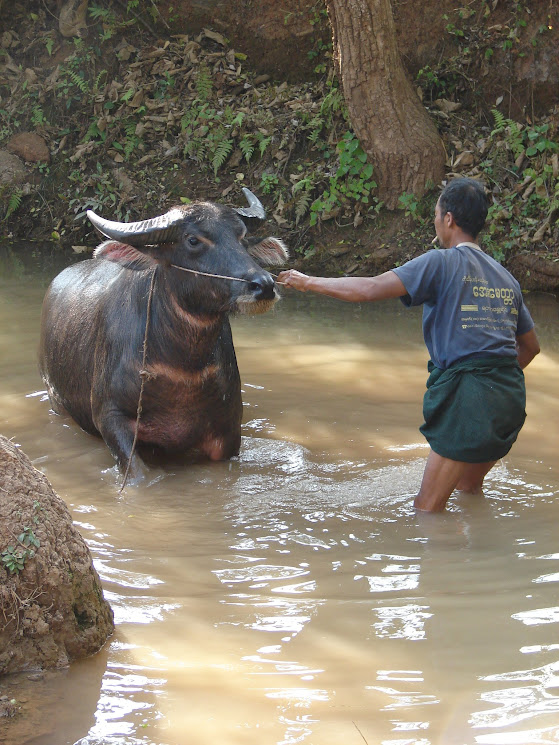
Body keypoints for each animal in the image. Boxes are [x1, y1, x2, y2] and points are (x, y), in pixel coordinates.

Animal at [40, 189, 288, 482]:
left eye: (242, 237)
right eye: (193, 240)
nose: (264, 285)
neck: (183, 367)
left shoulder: (229, 429)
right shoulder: (110, 417)